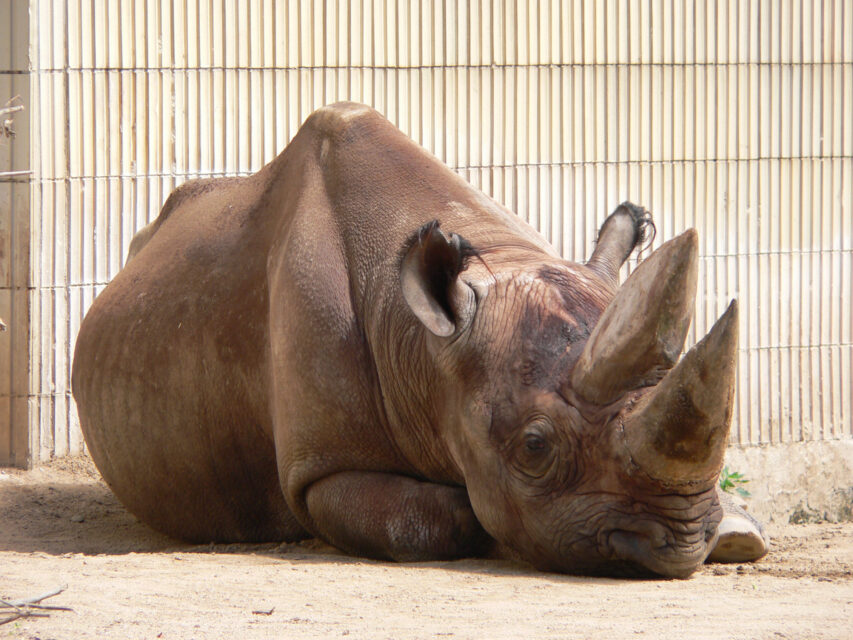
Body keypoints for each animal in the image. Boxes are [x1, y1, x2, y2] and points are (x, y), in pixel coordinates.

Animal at [72, 102, 767, 578]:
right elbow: (441, 517)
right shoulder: (320, 470)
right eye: (534, 448)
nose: (677, 545)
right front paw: (488, 529)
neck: (427, 350)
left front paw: (738, 530)